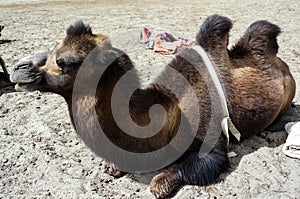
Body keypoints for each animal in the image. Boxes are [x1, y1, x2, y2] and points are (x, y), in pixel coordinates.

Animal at [9, 14, 296, 198]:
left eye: (65, 61)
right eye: (51, 51)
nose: (18, 68)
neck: (170, 112)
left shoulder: (212, 138)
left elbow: (192, 167)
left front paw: (160, 183)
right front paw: (111, 166)